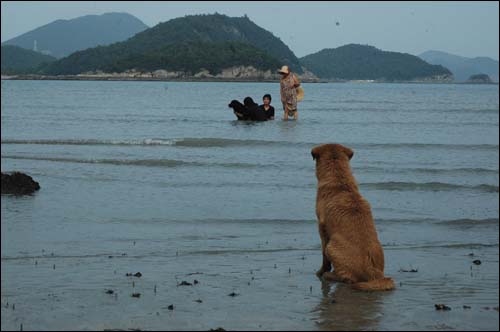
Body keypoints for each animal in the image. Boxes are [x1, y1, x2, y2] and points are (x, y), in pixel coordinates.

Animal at [312, 143, 394, 290]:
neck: (339, 180)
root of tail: (374, 274)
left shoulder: (322, 229)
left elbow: (324, 258)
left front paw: (321, 271)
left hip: (331, 247)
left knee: (348, 278)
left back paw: (330, 275)